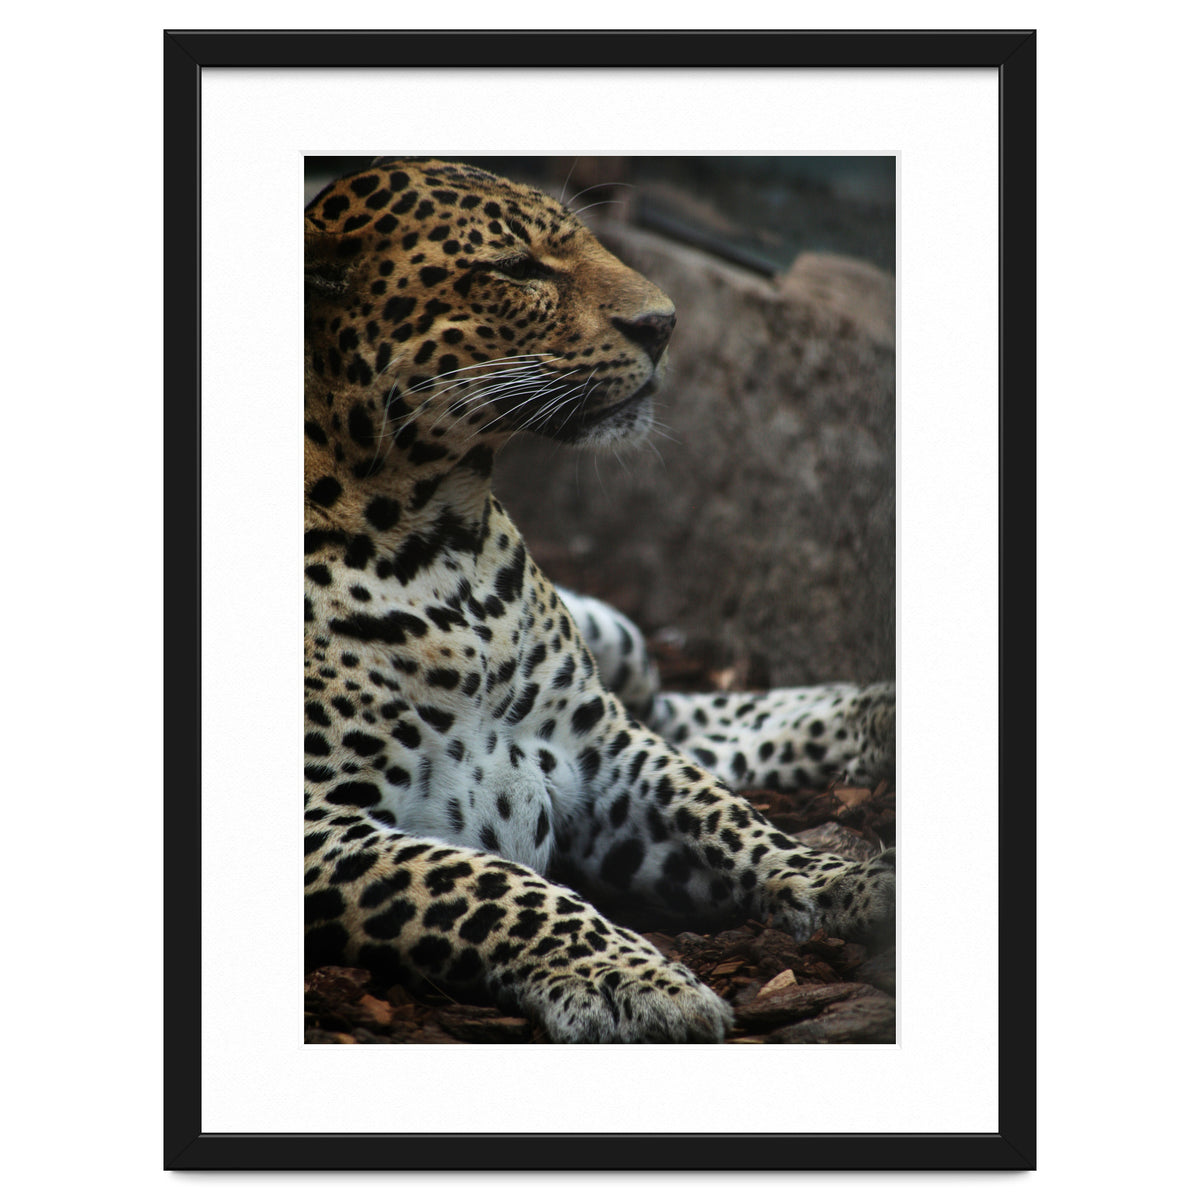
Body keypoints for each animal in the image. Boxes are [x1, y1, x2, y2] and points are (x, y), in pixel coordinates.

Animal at [303, 158, 896, 1043]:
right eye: (517, 268)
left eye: (582, 241)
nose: (666, 324)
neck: (439, 539)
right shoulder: (319, 827)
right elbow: (490, 885)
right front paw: (634, 981)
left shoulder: (597, 746)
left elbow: (723, 814)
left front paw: (847, 881)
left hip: (618, 650)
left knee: (680, 714)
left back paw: (877, 713)